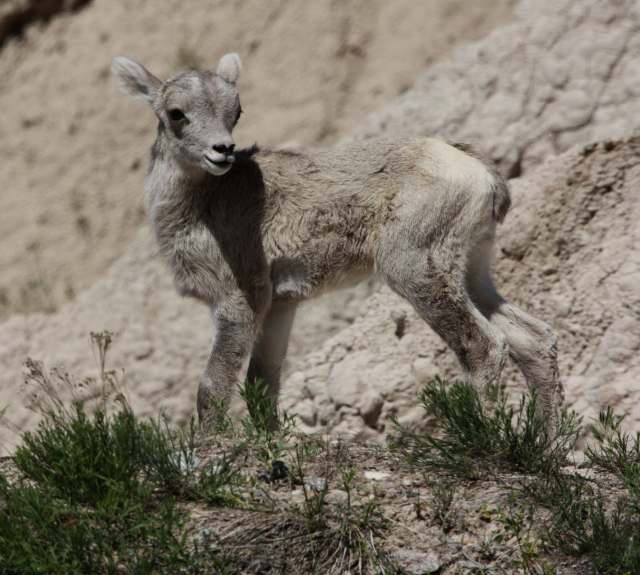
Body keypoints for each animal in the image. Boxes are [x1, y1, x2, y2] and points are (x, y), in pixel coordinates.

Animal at [111, 52, 563, 430]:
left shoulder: (238, 300)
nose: (221, 150)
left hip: (415, 268)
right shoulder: (281, 305)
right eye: (177, 114)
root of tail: (478, 172)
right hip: (470, 268)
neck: (204, 207)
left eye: (235, 112)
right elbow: (261, 385)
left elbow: (212, 388)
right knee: (532, 339)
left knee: (482, 347)